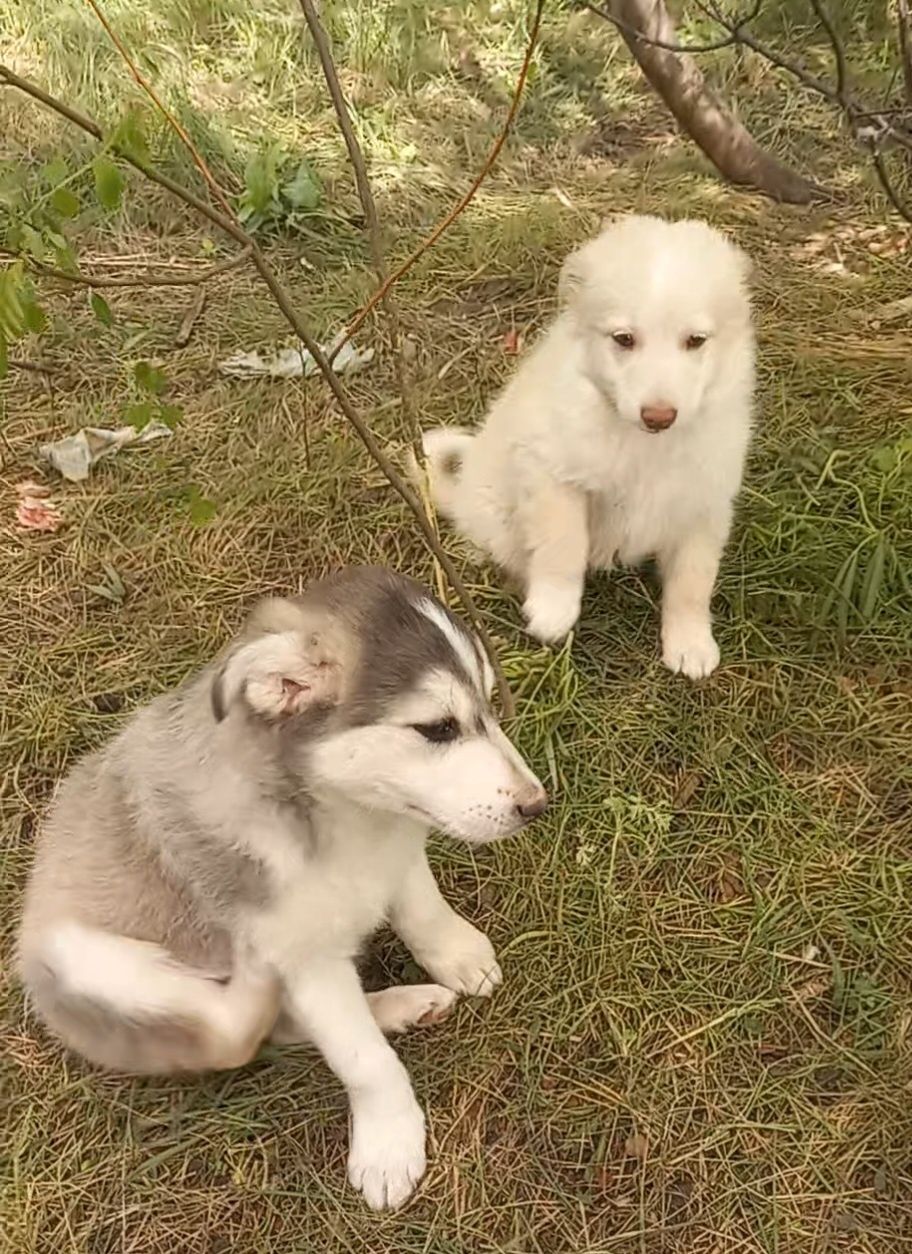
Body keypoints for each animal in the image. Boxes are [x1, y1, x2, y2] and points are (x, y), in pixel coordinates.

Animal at [19, 571, 549, 1213]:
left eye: (493, 706)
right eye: (437, 729)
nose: (537, 806)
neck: (347, 819)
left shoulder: (395, 843)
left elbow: (422, 907)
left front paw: (458, 955)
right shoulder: (308, 962)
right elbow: (362, 1058)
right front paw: (389, 1142)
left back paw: (404, 1005)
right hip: (88, 963)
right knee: (236, 1036)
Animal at [424, 218, 752, 687]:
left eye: (696, 341)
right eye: (624, 339)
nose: (659, 416)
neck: (644, 442)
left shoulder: (704, 502)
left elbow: (693, 579)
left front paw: (690, 642)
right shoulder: (553, 471)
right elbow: (564, 542)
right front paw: (554, 609)